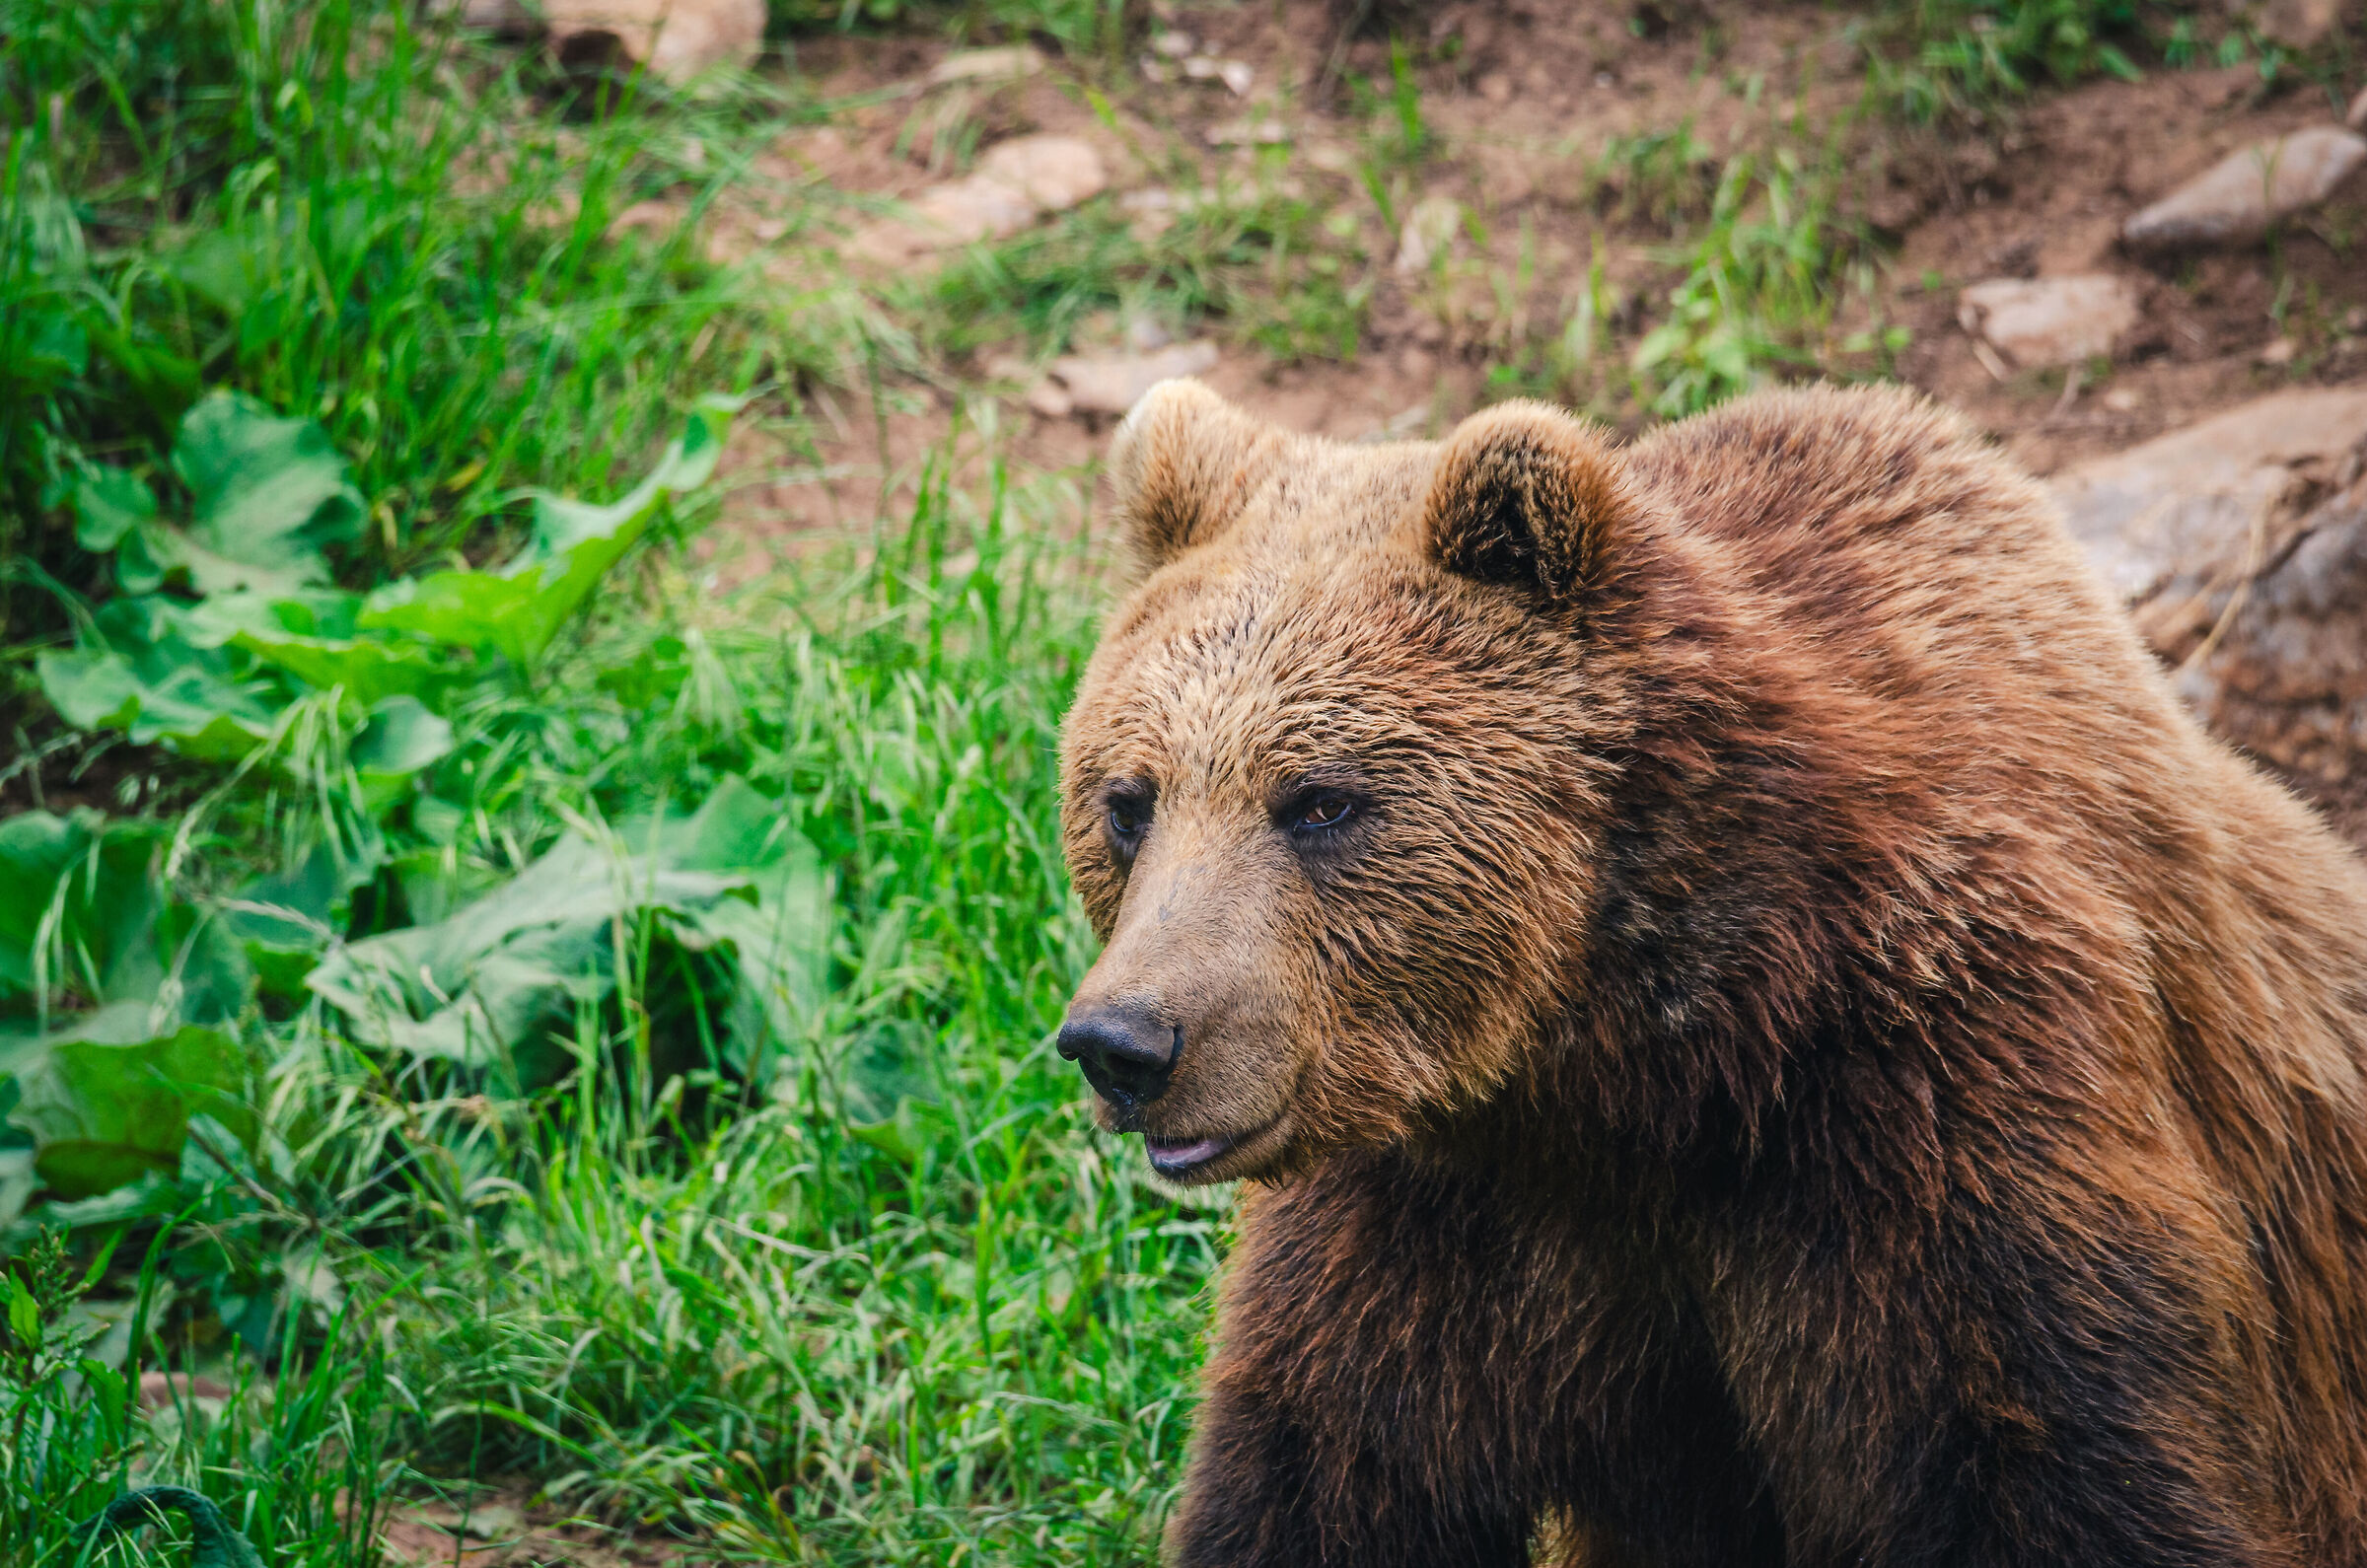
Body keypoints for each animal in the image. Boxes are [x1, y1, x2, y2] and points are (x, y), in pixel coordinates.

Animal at [1052, 378, 2367, 1567]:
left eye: (1320, 800)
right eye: (1130, 801)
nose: (1126, 1044)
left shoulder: (1949, 1113)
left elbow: (2064, 1469)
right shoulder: (1428, 1225)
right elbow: (1327, 1478)